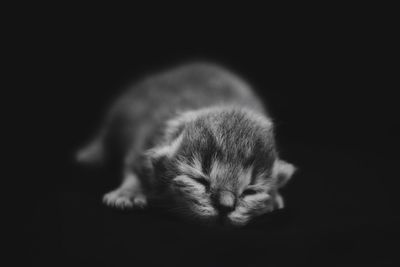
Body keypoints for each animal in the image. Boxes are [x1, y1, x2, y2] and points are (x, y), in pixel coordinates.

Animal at [77, 63, 296, 228]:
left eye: (251, 191)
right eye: (200, 180)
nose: (225, 206)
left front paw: (274, 199)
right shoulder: (144, 139)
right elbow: (133, 167)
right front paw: (128, 193)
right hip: (122, 110)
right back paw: (90, 154)